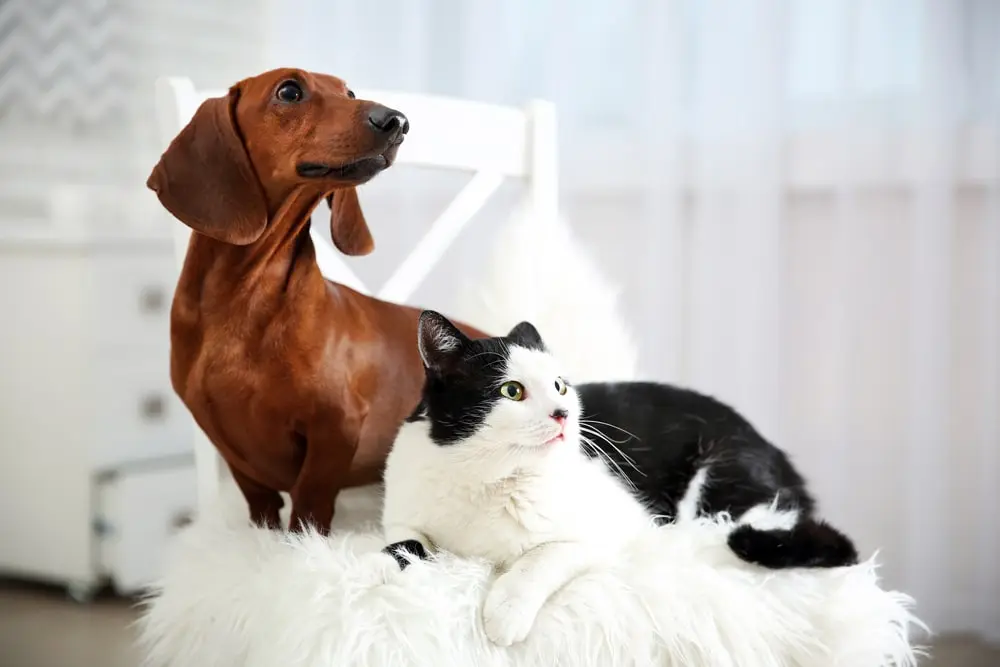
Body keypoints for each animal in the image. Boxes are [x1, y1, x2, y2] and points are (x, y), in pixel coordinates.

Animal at [382, 314, 860, 648]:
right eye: (511, 391)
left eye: (559, 386)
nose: (563, 413)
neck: (485, 475)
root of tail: (776, 453)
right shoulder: (402, 518)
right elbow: (402, 547)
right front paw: (389, 572)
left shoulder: (610, 528)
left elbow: (541, 558)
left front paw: (506, 612)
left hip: (723, 477)